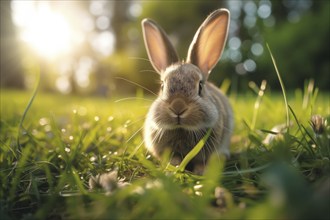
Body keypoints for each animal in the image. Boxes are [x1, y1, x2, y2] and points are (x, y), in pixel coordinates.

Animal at [141, 8, 232, 174]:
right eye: (162, 86)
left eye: (200, 86)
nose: (178, 107)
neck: (182, 130)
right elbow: (174, 160)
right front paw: (172, 170)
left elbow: (201, 163)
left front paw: (200, 173)